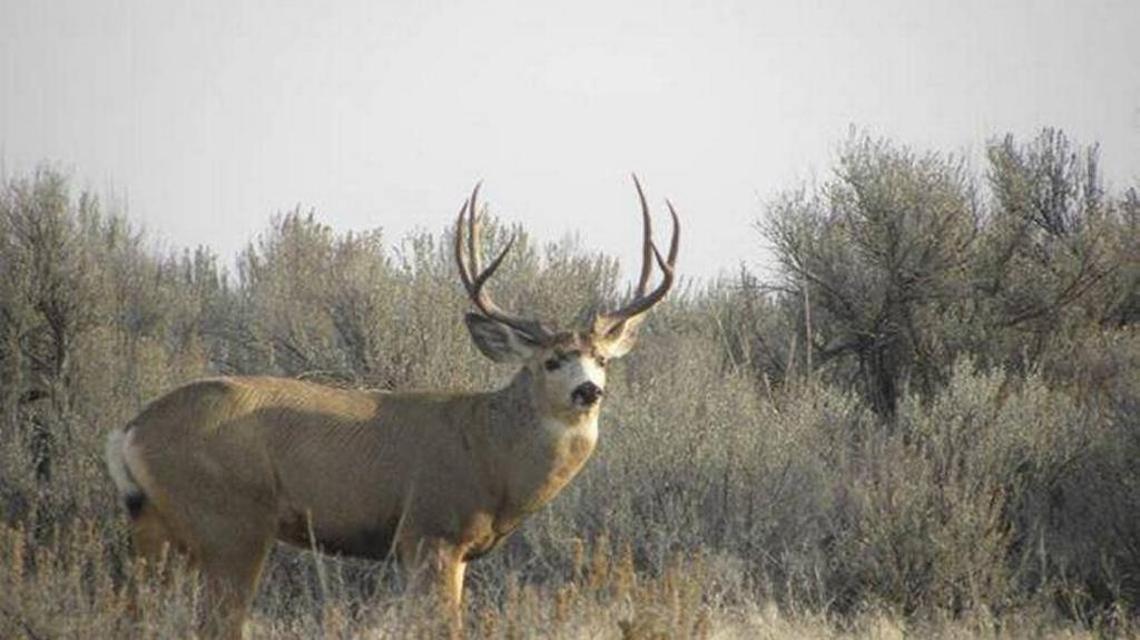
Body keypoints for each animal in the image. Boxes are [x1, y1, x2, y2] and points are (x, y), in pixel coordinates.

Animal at [104, 177, 679, 638]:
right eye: (551, 361)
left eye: (601, 358)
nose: (588, 391)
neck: (491, 454)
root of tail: (129, 430)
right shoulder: (430, 530)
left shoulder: (452, 549)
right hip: (230, 521)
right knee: (215, 620)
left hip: (155, 524)